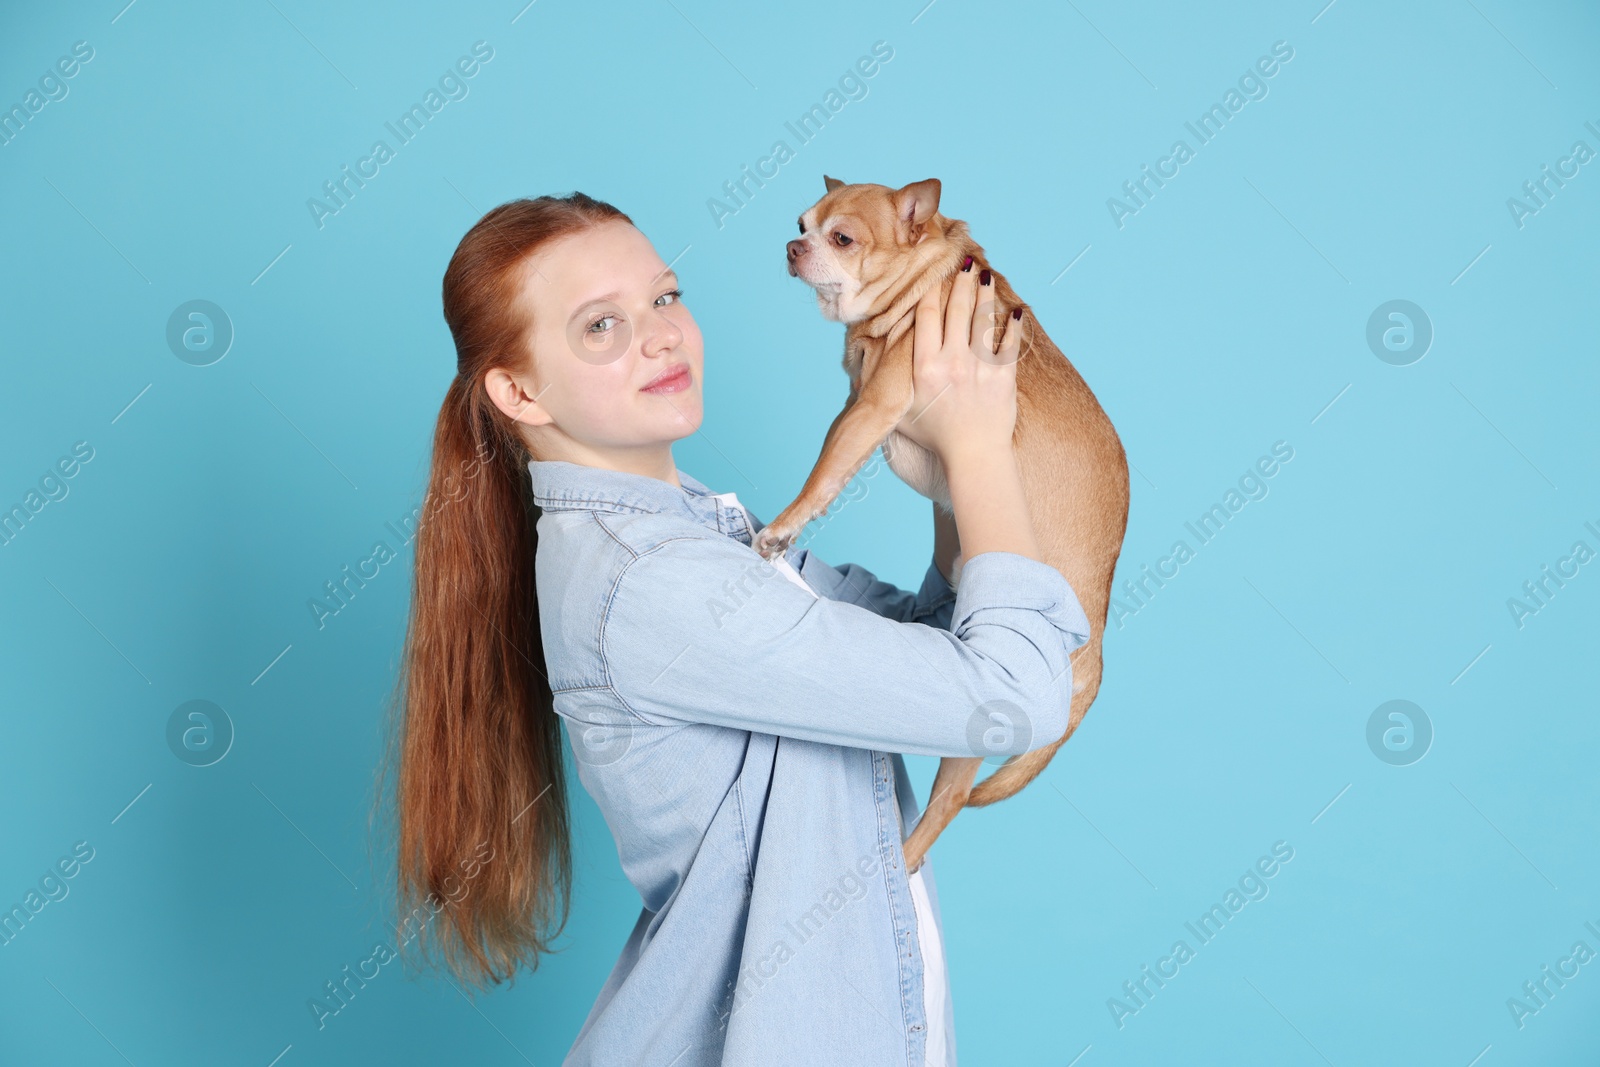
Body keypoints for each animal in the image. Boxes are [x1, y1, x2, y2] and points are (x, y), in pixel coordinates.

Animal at [755, 177, 1132, 876]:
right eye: (799, 224)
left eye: (841, 238)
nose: (793, 248)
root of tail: (1097, 647)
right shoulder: (856, 406)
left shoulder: (871, 408)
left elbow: (823, 476)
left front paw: (782, 529)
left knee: (952, 798)